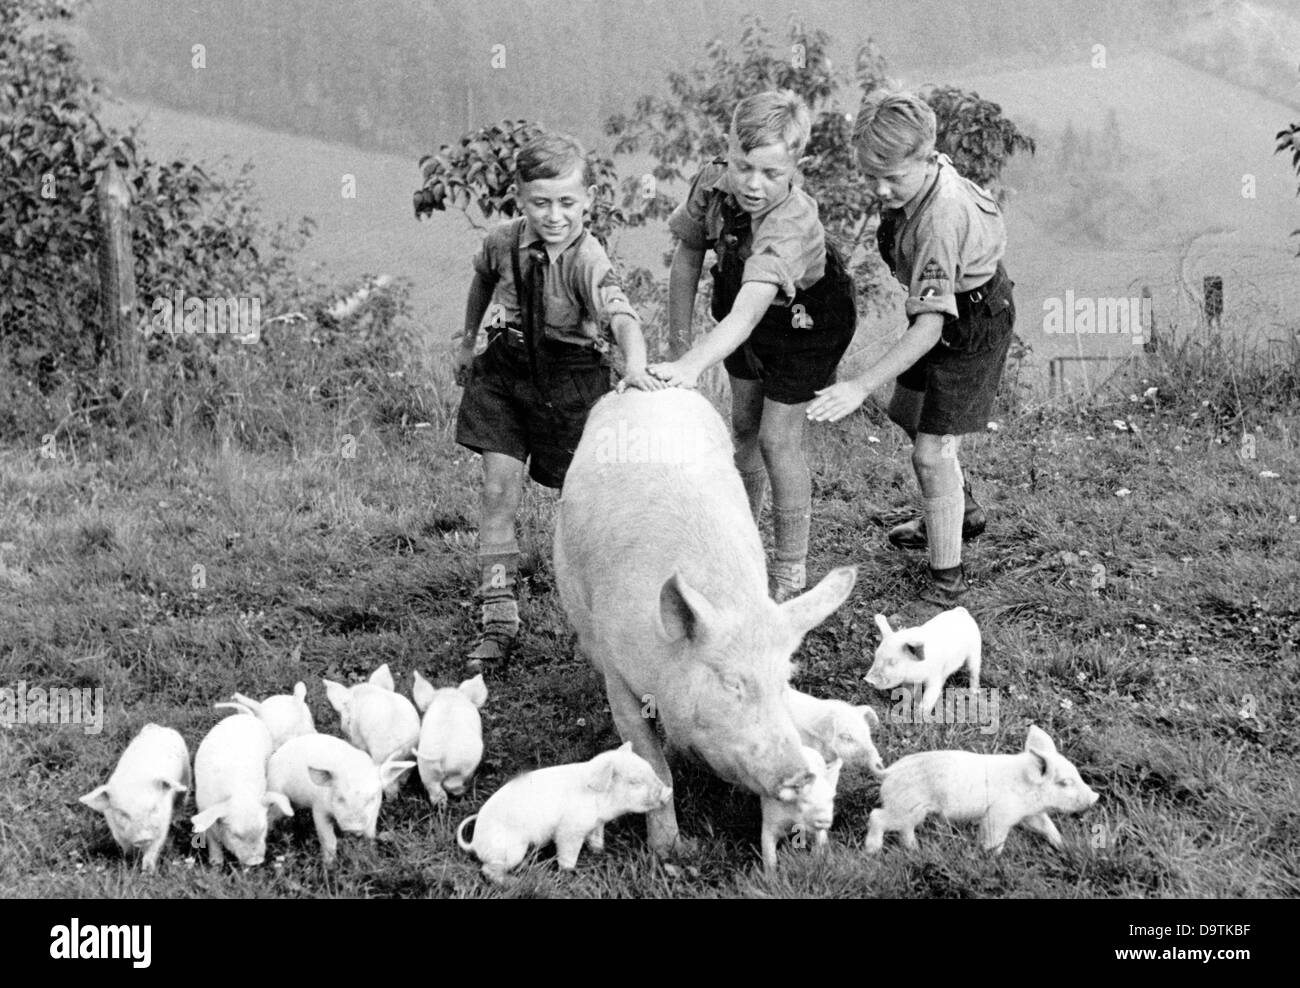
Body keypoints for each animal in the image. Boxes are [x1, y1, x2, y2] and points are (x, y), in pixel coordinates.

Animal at [553, 390, 857, 852]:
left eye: (785, 679)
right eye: (731, 683)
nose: (801, 773)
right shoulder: (617, 673)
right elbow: (651, 761)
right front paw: (669, 851)